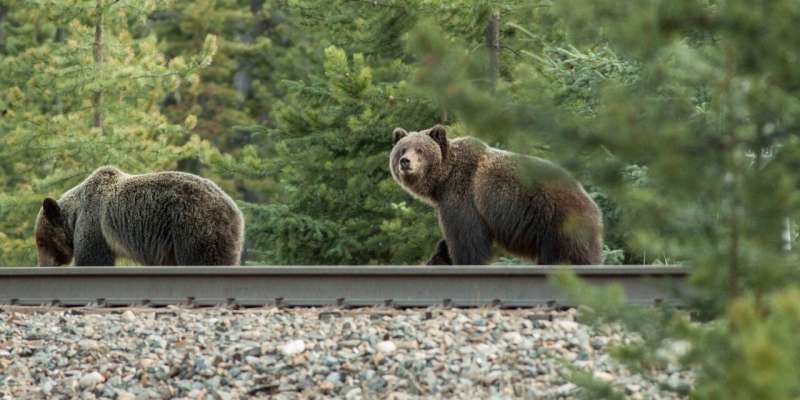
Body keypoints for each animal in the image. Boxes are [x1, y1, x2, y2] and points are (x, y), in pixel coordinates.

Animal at [34, 166, 245, 266]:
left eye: (41, 243)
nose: (43, 265)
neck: (75, 216)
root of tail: (235, 210)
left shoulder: (94, 223)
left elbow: (93, 258)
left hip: (194, 225)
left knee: (203, 259)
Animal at [390, 125, 604, 266]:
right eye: (402, 149)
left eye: (420, 150)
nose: (405, 161)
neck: (443, 181)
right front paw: (438, 257)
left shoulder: (463, 196)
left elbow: (465, 238)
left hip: (559, 220)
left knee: (568, 256)